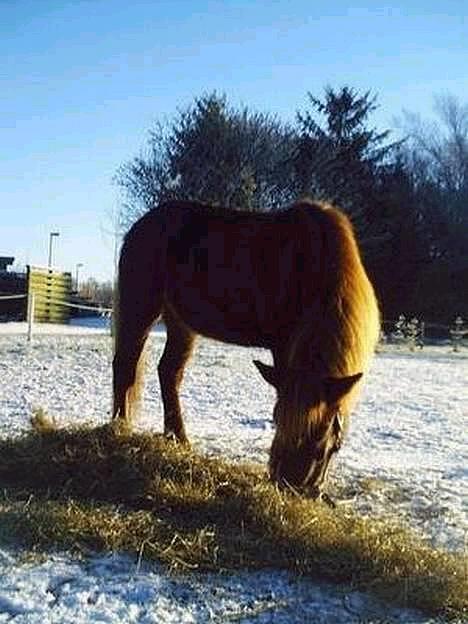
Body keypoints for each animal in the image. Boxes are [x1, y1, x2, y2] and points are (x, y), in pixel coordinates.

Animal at [113, 199, 380, 498]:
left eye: (324, 433)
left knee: (168, 372)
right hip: (141, 308)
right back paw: (119, 428)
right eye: (278, 420)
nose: (290, 486)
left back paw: (178, 439)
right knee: (125, 365)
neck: (317, 265)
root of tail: (141, 225)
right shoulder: (282, 347)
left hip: (180, 322)